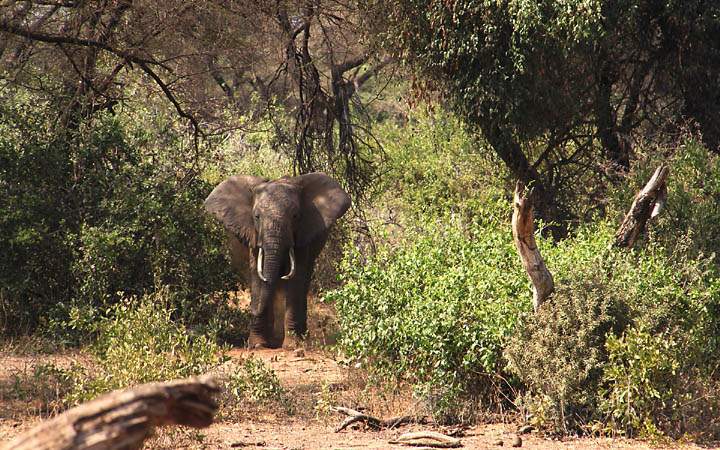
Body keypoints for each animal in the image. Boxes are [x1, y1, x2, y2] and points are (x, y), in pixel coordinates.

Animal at [204, 171, 350, 348]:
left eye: (295, 216)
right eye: (257, 217)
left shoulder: (302, 234)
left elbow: (296, 278)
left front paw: (293, 345)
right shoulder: (254, 236)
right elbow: (257, 276)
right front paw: (258, 345)